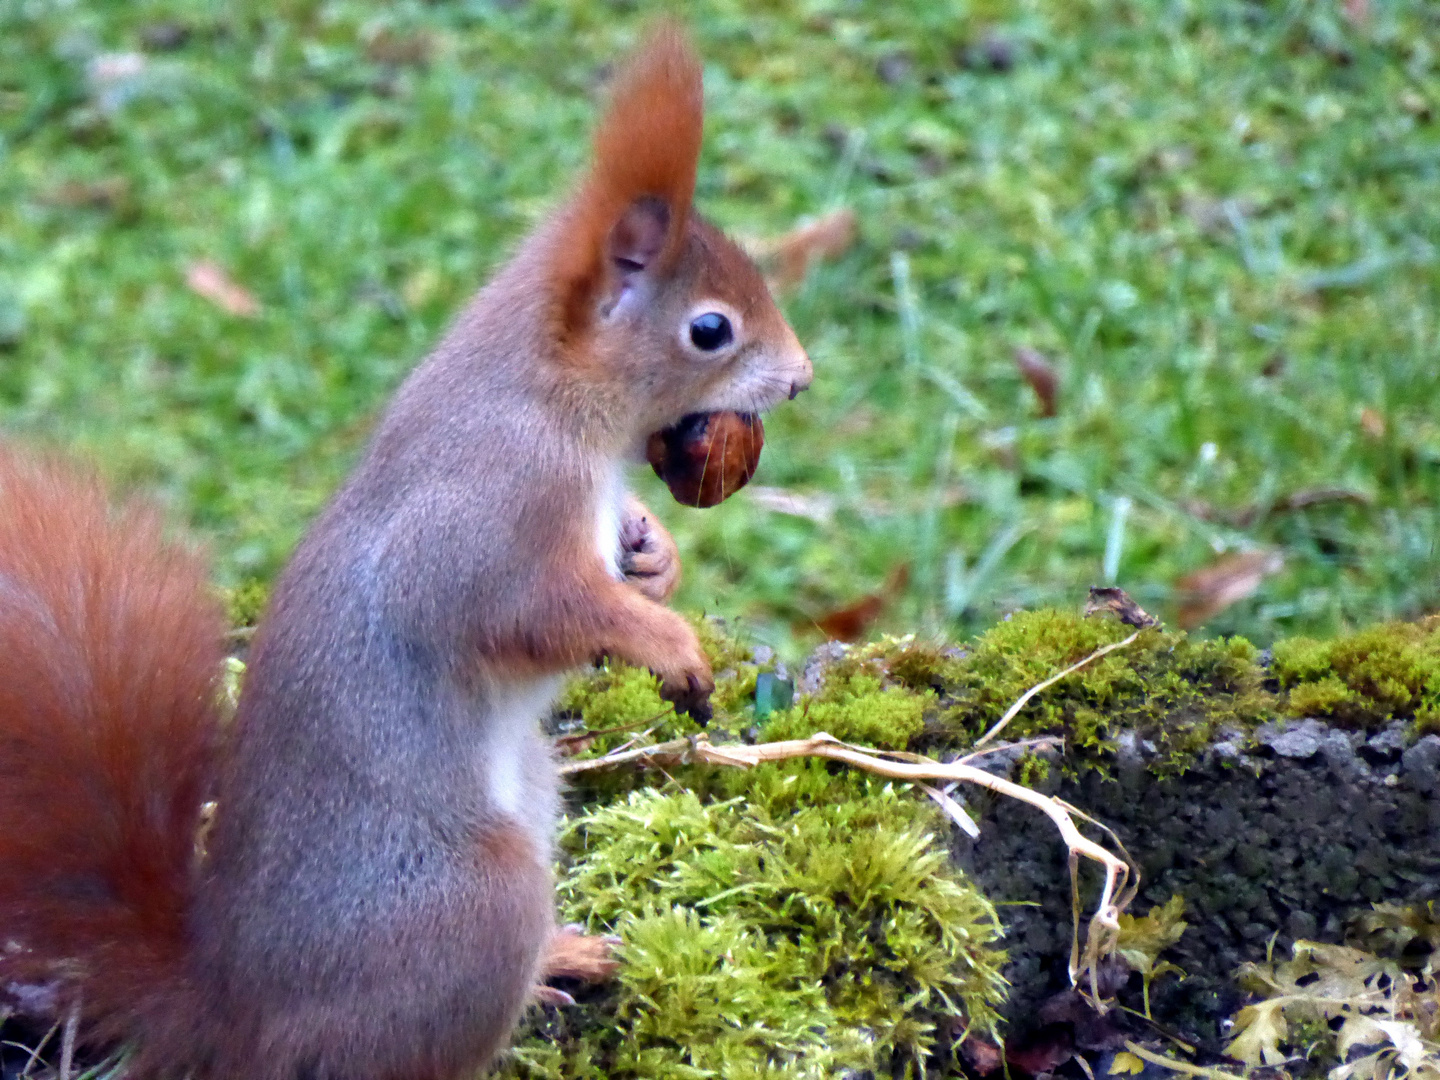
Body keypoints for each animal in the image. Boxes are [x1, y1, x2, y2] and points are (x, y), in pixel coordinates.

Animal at [0, 25, 812, 1080]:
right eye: (709, 329)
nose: (800, 379)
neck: (551, 401)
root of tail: (232, 1009)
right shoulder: (486, 515)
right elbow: (523, 609)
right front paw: (665, 639)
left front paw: (653, 556)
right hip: (474, 905)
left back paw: (567, 954)